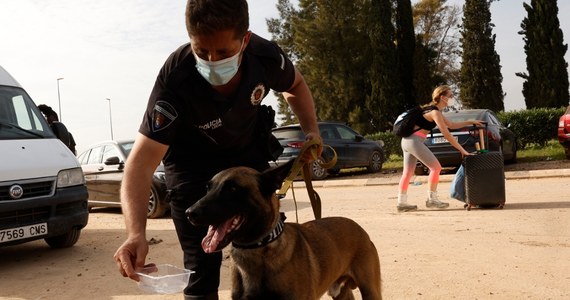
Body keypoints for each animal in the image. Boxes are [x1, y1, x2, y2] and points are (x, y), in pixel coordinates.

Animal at [187, 161, 382, 298]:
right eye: (207, 188)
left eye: (232, 188)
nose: (190, 213)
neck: (259, 248)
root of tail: (360, 229)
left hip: (370, 290)